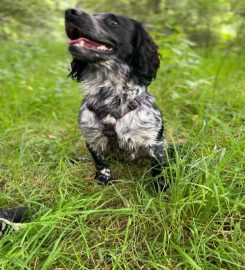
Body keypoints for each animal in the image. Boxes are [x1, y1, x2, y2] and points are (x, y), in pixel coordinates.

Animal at [64, 8, 169, 190]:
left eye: (113, 22)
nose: (70, 12)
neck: (109, 94)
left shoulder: (155, 142)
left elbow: (158, 168)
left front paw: (160, 186)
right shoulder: (91, 137)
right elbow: (100, 161)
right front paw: (104, 178)